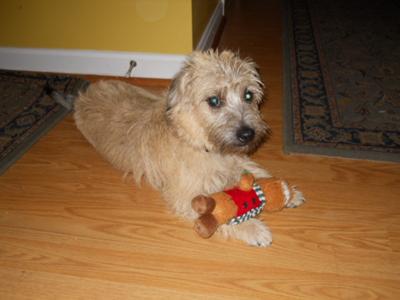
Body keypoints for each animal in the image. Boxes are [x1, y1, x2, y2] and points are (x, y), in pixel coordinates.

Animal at [73, 49, 304, 246]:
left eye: (248, 95)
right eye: (214, 100)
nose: (248, 134)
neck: (198, 141)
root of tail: (85, 93)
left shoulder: (238, 159)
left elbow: (257, 172)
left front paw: (288, 192)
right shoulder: (187, 194)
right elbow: (221, 212)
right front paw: (253, 228)